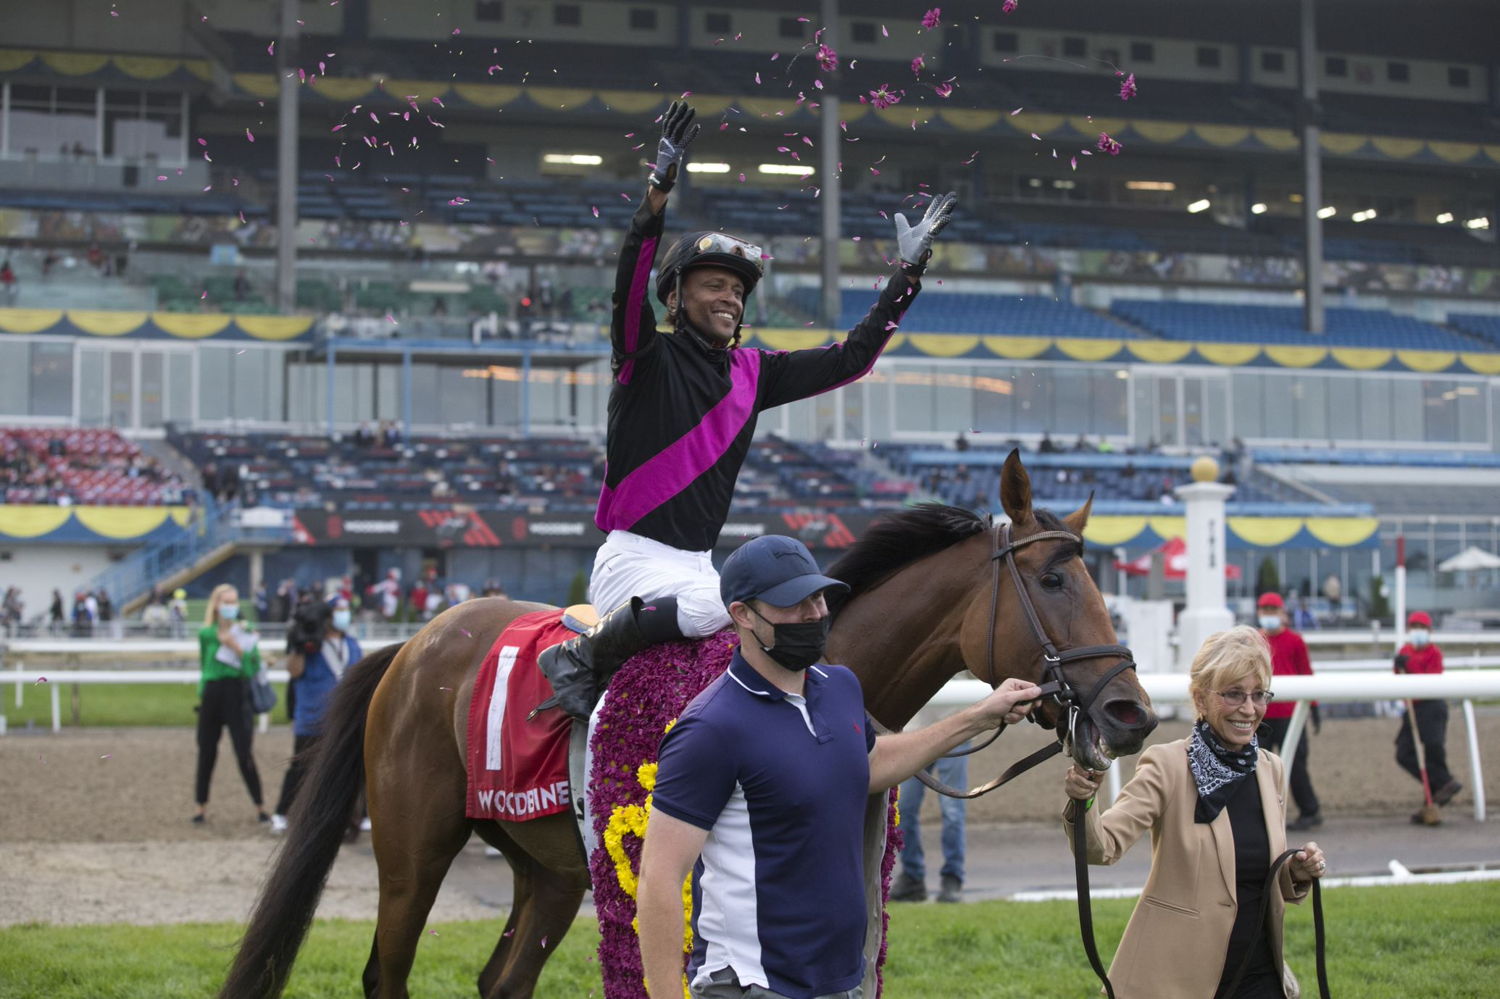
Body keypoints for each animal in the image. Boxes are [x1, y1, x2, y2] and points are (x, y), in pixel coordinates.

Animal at [219, 450, 1158, 996]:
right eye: (1053, 581)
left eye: (1101, 579)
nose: (1131, 712)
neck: (803, 682)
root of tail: (415, 642)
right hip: (414, 848)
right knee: (387, 971)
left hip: (550, 867)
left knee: (500, 979)